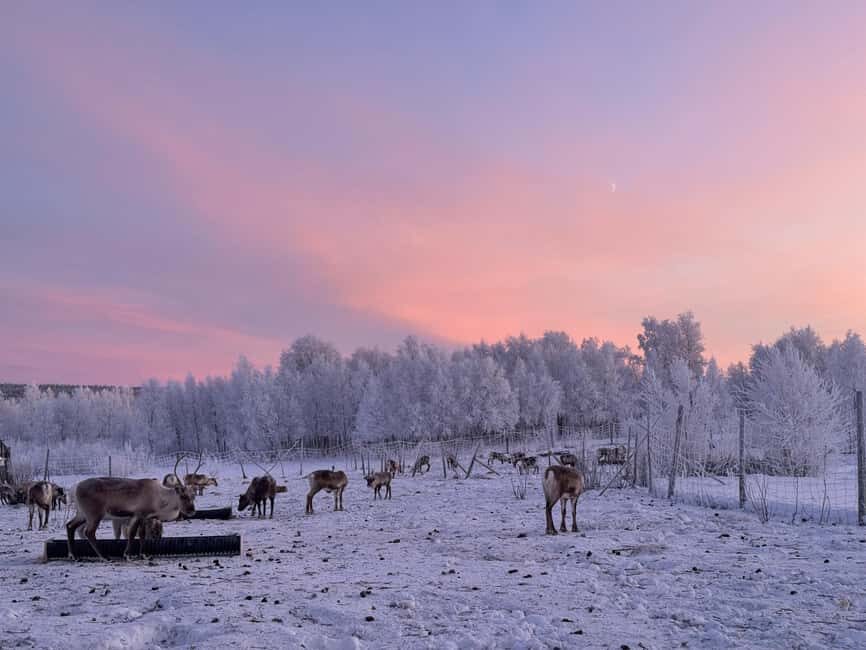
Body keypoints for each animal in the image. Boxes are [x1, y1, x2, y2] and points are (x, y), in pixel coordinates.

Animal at [65, 455, 196, 561]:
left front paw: (144, 555)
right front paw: (127, 555)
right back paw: (105, 557)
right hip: (94, 515)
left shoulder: (144, 517)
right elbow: (132, 534)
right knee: (89, 532)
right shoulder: (138, 514)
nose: (192, 511)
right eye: (183, 496)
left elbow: (142, 534)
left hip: (81, 514)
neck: (159, 496)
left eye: (193, 495)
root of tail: (74, 488)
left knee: (70, 525)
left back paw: (74, 556)